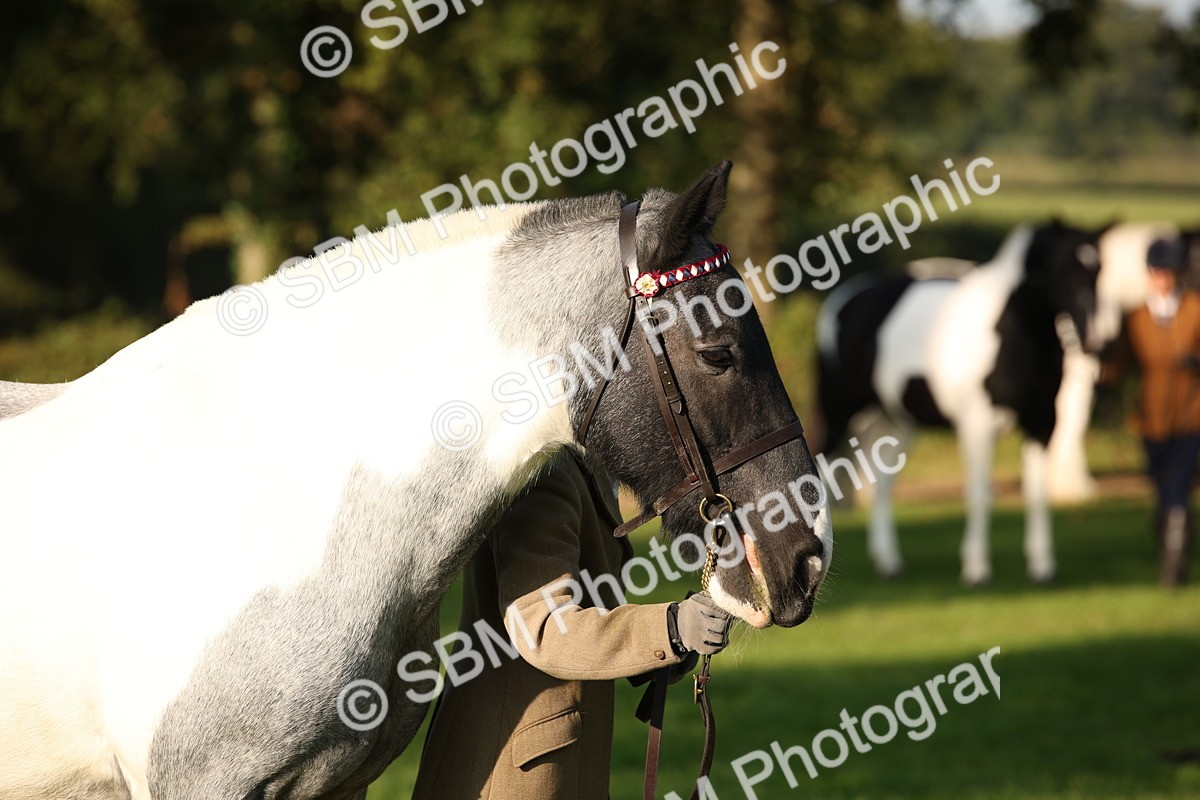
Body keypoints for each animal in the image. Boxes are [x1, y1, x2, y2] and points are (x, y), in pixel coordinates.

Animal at [816, 221, 1107, 584]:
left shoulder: (1042, 423)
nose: (1093, 340)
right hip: (837, 412)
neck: (1011, 330)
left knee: (883, 484)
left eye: (1099, 269)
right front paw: (976, 568)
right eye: (1062, 269)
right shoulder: (977, 426)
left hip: (896, 423)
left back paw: (889, 562)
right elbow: (979, 494)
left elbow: (1037, 493)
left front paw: (1042, 566)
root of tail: (843, 300)